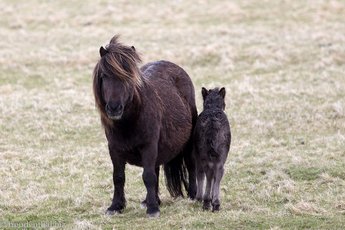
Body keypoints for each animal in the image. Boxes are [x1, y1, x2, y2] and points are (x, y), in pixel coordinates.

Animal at [92, 35, 196, 217]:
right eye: (104, 76)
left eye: (128, 77)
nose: (114, 108)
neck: (128, 123)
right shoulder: (114, 149)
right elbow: (118, 177)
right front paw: (116, 206)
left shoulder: (149, 146)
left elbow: (148, 176)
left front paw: (153, 209)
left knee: (189, 165)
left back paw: (193, 195)